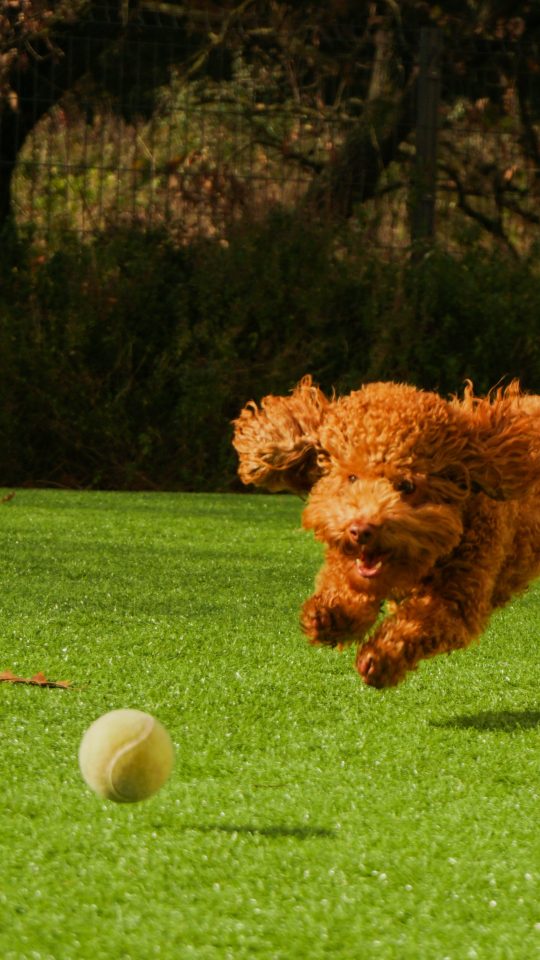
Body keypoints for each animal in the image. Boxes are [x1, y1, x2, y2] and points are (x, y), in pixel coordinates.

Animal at [232, 378, 540, 688]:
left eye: (406, 486)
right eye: (352, 477)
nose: (361, 529)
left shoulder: (460, 597)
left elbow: (420, 622)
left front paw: (380, 658)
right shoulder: (347, 563)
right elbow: (343, 586)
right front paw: (331, 616)